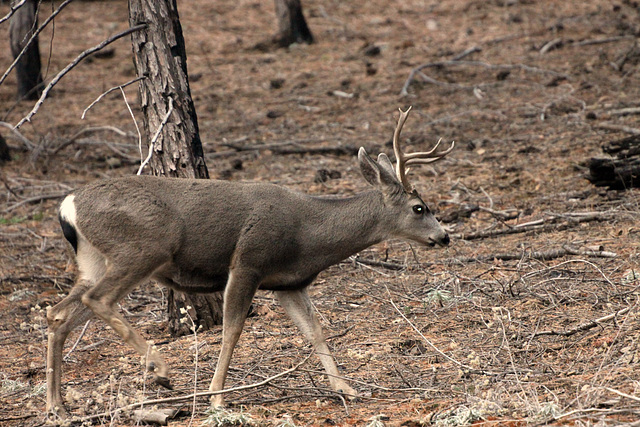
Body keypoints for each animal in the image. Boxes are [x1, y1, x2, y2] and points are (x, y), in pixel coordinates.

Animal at [46, 108, 456, 418]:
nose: (444, 236)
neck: (308, 234)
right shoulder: (248, 262)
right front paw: (215, 396)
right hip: (143, 247)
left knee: (58, 313)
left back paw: (57, 407)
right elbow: (232, 331)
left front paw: (348, 389)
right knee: (97, 300)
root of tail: (68, 206)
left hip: (94, 261)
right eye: (420, 208)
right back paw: (159, 370)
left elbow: (315, 331)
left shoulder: (289, 283)